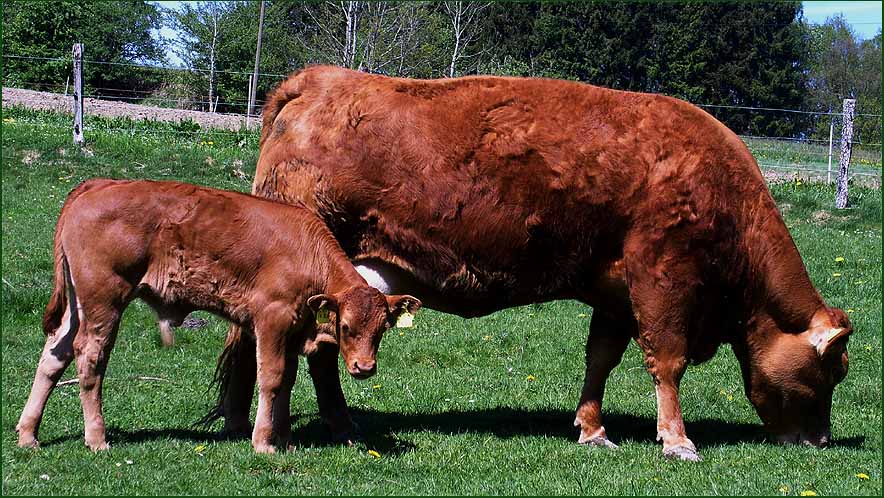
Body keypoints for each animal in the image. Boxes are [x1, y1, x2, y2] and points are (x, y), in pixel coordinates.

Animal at [13, 179, 422, 456]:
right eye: (346, 327)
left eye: (382, 329)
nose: (364, 368)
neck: (306, 252)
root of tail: (98, 184)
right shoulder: (271, 318)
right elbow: (271, 379)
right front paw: (264, 443)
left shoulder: (294, 327)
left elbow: (287, 381)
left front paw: (285, 439)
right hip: (104, 298)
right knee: (89, 357)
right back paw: (96, 438)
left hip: (77, 304)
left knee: (55, 353)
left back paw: (28, 434)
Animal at [212, 67, 848, 462]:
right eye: (831, 372)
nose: (820, 441)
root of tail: (321, 80)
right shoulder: (663, 279)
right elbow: (666, 362)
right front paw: (677, 440)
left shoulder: (615, 294)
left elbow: (601, 360)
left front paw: (593, 430)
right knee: (298, 347)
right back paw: (316, 426)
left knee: (309, 345)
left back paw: (277, 424)